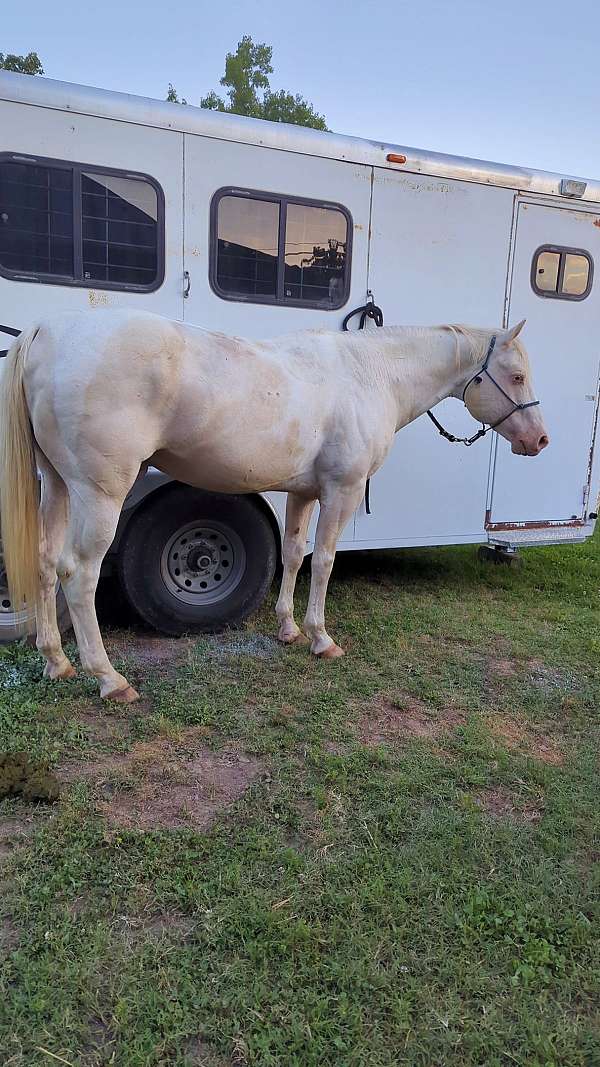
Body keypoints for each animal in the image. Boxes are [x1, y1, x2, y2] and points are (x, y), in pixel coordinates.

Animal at [0, 309, 546, 699]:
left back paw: (56, 662)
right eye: (517, 376)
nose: (539, 440)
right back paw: (109, 679)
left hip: (57, 485)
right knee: (78, 574)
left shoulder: (303, 492)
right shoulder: (342, 491)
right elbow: (323, 561)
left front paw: (288, 630)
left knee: (45, 564)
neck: (369, 375)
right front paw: (321, 639)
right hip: (100, 495)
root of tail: (47, 330)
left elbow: (294, 555)